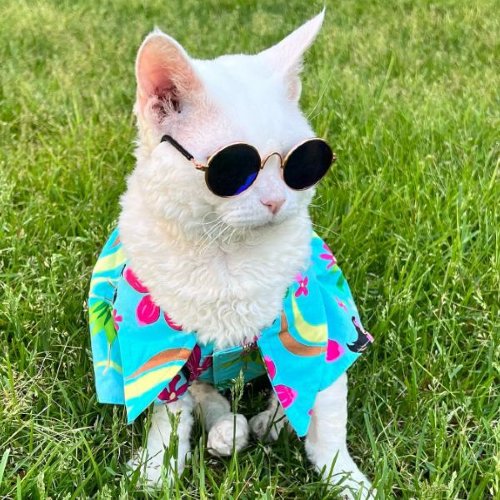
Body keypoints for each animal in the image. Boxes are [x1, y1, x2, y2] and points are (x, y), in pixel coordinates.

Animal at [119, 9, 374, 498]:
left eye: (302, 162)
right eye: (235, 170)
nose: (276, 200)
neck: (228, 257)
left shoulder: (328, 328)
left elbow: (327, 419)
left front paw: (345, 478)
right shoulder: (160, 347)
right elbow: (168, 417)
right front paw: (159, 470)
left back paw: (266, 423)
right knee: (205, 395)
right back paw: (226, 429)